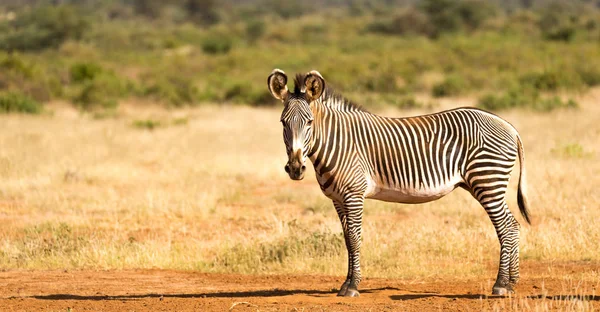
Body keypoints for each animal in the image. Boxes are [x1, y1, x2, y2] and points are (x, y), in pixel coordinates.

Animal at [266, 69, 528, 298]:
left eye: (309, 122)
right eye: (282, 122)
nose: (296, 168)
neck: (336, 143)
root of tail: (508, 125)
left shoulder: (353, 194)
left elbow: (355, 238)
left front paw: (353, 286)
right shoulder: (338, 199)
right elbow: (347, 239)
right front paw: (346, 284)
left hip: (488, 181)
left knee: (507, 227)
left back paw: (501, 285)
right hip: (486, 183)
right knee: (512, 226)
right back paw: (511, 283)